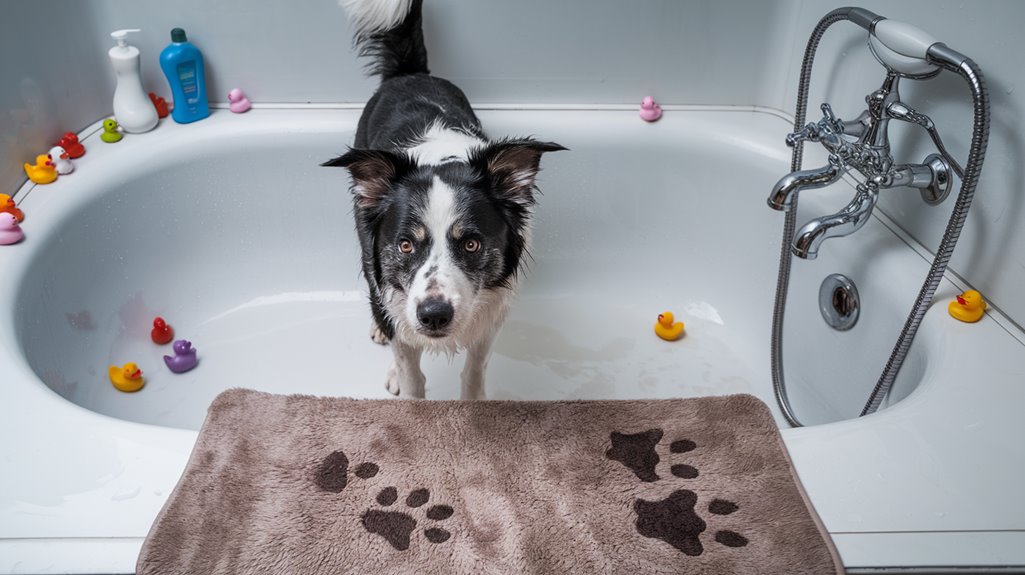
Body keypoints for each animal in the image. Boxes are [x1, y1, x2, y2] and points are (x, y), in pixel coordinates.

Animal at [323, 0, 565, 399]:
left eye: (471, 244)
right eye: (405, 245)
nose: (434, 315)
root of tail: (410, 74)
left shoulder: (490, 312)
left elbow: (475, 370)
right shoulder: (397, 303)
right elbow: (411, 375)